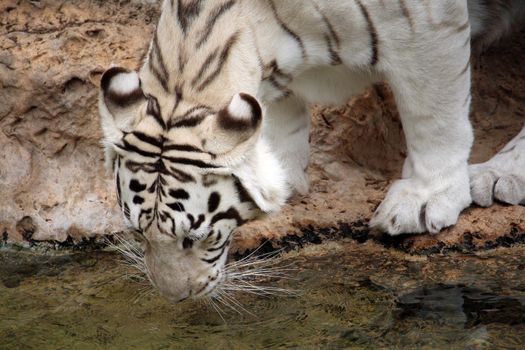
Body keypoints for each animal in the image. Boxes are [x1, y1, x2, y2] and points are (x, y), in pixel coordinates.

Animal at [98, 0, 524, 300]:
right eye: (137, 234)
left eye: (194, 237)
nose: (176, 297)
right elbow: (281, 116)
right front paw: (284, 179)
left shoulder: (425, 24)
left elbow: (432, 113)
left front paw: (424, 200)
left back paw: (500, 174)